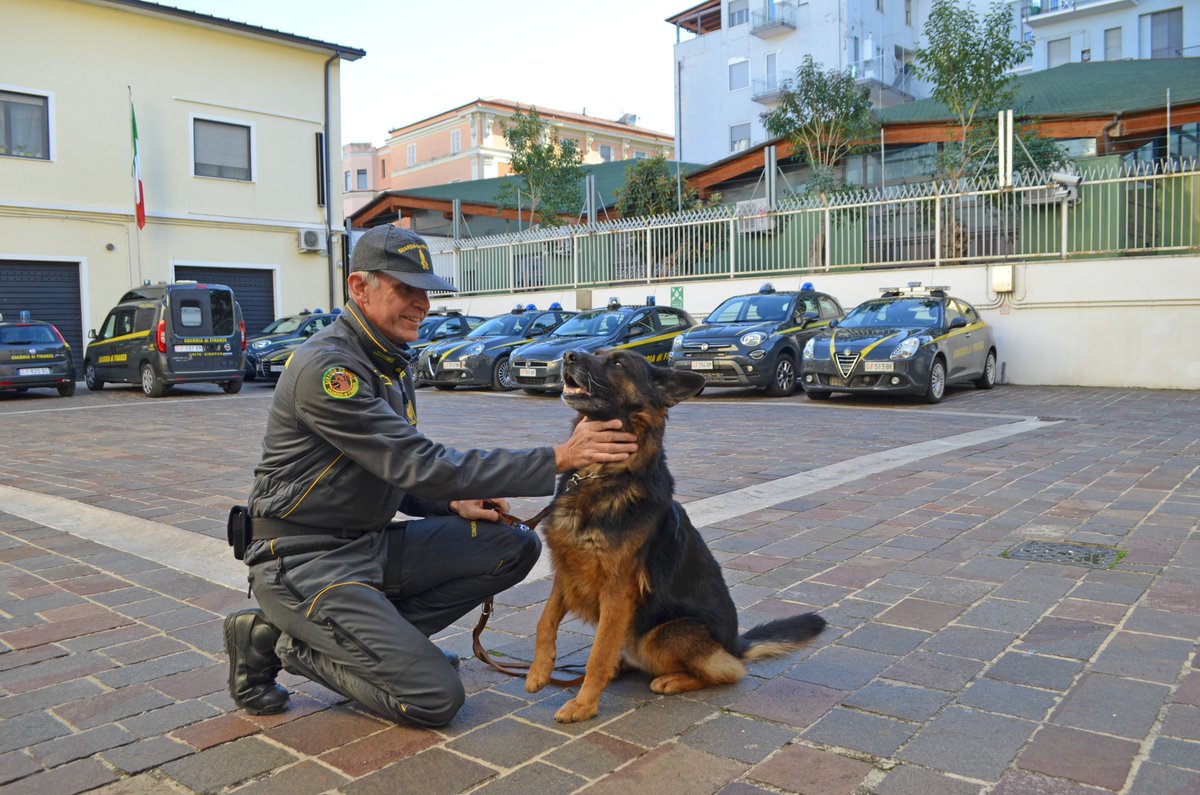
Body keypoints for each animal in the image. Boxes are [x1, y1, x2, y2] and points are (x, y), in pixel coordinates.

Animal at [525, 348, 825, 720]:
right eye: (595, 354)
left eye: (618, 363)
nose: (568, 354)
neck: (603, 475)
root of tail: (735, 643)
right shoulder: (568, 569)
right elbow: (545, 621)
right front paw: (539, 672)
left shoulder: (617, 590)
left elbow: (598, 653)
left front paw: (583, 704)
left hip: (661, 635)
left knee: (729, 671)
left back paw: (671, 679)